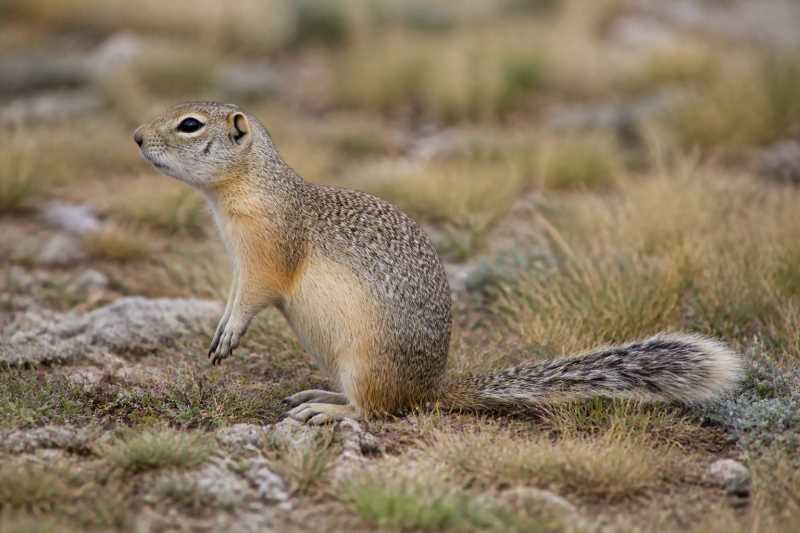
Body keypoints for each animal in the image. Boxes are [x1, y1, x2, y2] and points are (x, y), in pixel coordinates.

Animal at [133, 102, 743, 424]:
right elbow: (235, 294)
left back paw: (327, 412)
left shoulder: (265, 251)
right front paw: (219, 329)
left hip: (365, 363)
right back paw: (317, 395)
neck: (250, 186)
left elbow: (256, 294)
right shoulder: (238, 260)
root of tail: (431, 391)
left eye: (190, 124)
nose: (136, 135)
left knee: (376, 410)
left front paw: (229, 334)